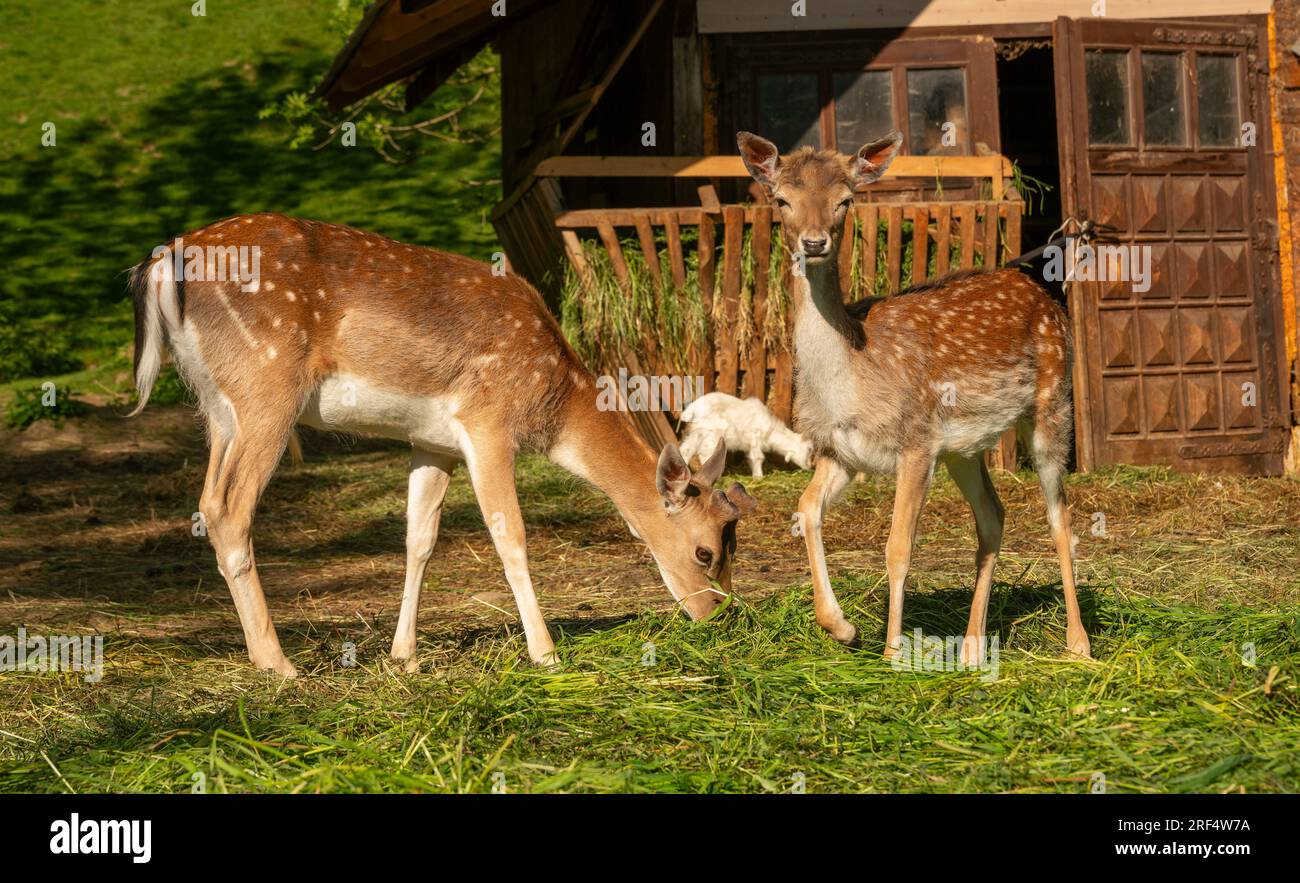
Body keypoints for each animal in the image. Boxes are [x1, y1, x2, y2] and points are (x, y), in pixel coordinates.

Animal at [128, 214, 755, 678]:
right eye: (705, 551)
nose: (719, 615)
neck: (552, 405)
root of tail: (159, 265)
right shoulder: (487, 422)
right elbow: (510, 535)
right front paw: (546, 653)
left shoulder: (433, 442)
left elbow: (419, 540)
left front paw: (402, 656)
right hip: (266, 386)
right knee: (228, 509)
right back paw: (277, 664)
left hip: (218, 407)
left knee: (208, 501)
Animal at [736, 130, 1090, 664]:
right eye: (781, 199)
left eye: (845, 200)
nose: (814, 242)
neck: (851, 380)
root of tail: (1043, 294)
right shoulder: (841, 452)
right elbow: (805, 508)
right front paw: (841, 627)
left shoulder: (917, 443)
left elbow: (898, 546)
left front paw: (891, 654)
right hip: (964, 448)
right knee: (993, 516)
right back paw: (971, 649)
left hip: (1053, 402)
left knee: (1059, 515)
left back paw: (1078, 643)